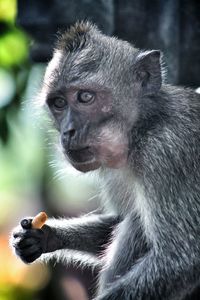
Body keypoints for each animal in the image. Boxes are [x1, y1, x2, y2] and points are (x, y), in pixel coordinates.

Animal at [11, 21, 200, 300]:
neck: (142, 127)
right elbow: (118, 218)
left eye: (85, 97)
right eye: (59, 103)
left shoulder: (167, 152)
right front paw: (44, 237)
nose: (68, 131)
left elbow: (180, 260)